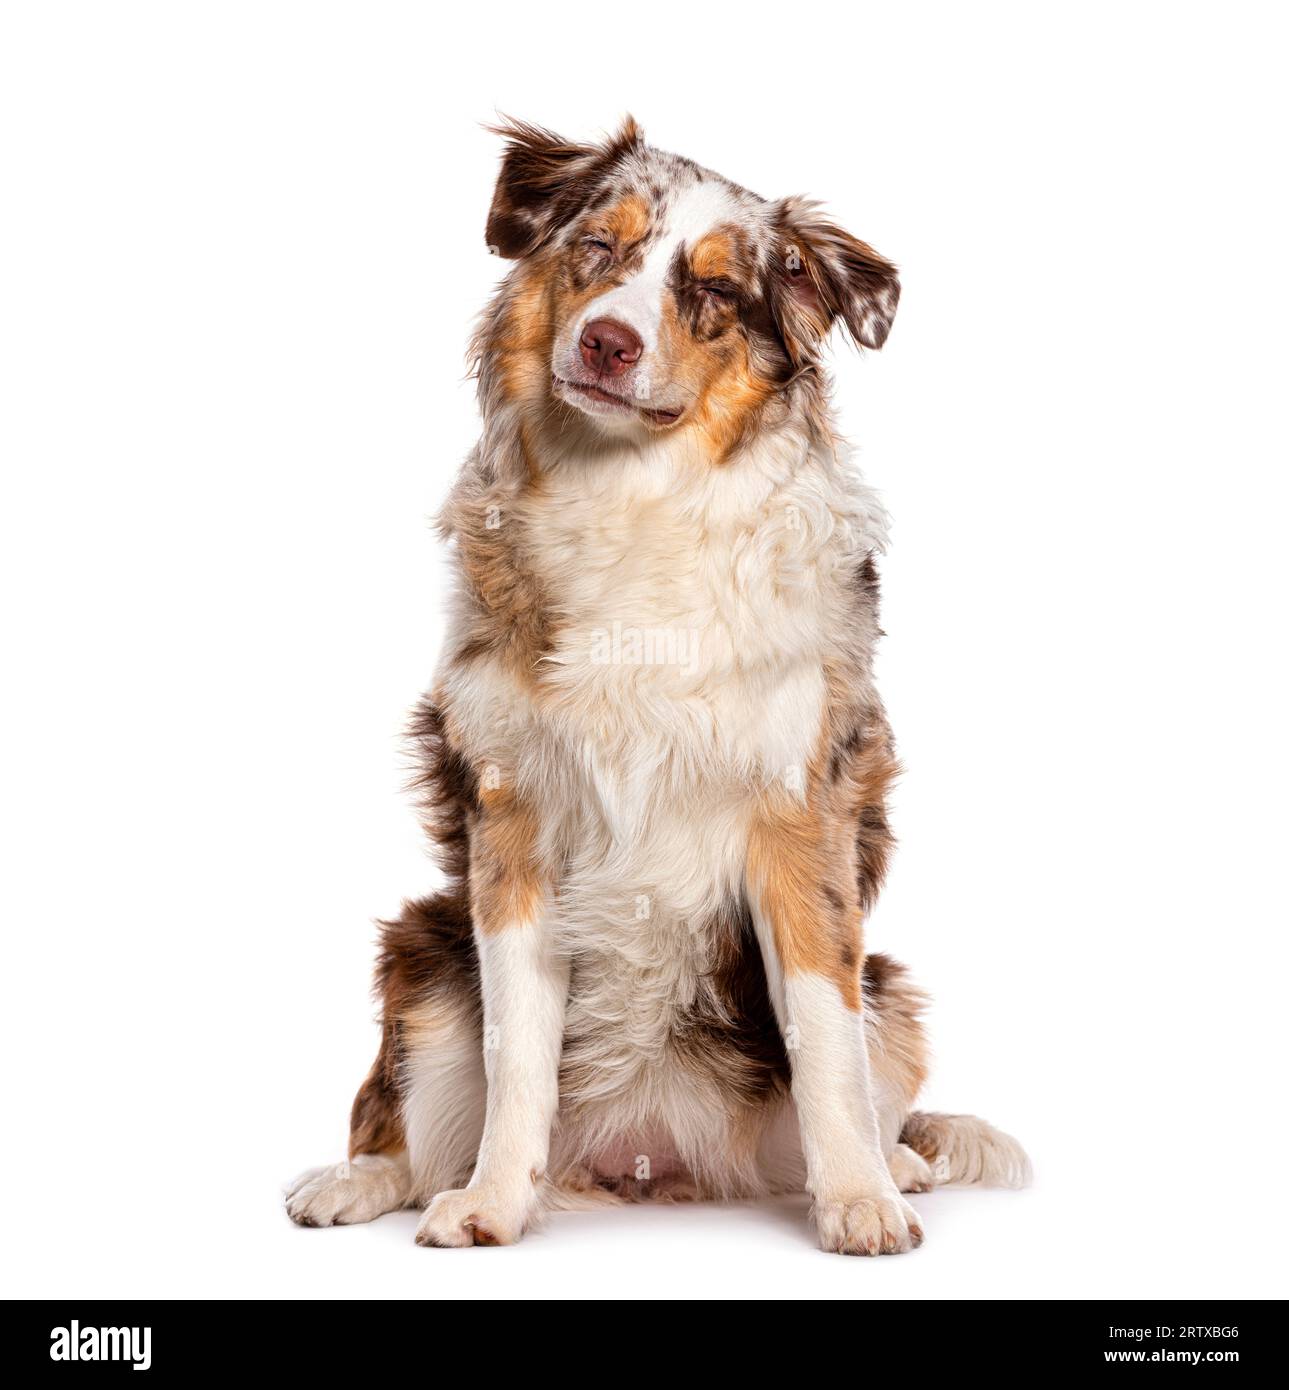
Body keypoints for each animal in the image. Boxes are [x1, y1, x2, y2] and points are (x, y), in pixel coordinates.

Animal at [287, 113, 1034, 1256]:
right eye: (598, 247)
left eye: (715, 290)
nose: (607, 341)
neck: (632, 490)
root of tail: (641, 1156)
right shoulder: (510, 819)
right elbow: (516, 1051)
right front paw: (493, 1202)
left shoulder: (801, 811)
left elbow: (823, 1038)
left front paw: (859, 1201)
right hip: (421, 951)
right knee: (410, 1121)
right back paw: (358, 1178)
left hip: (893, 992)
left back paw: (895, 1163)